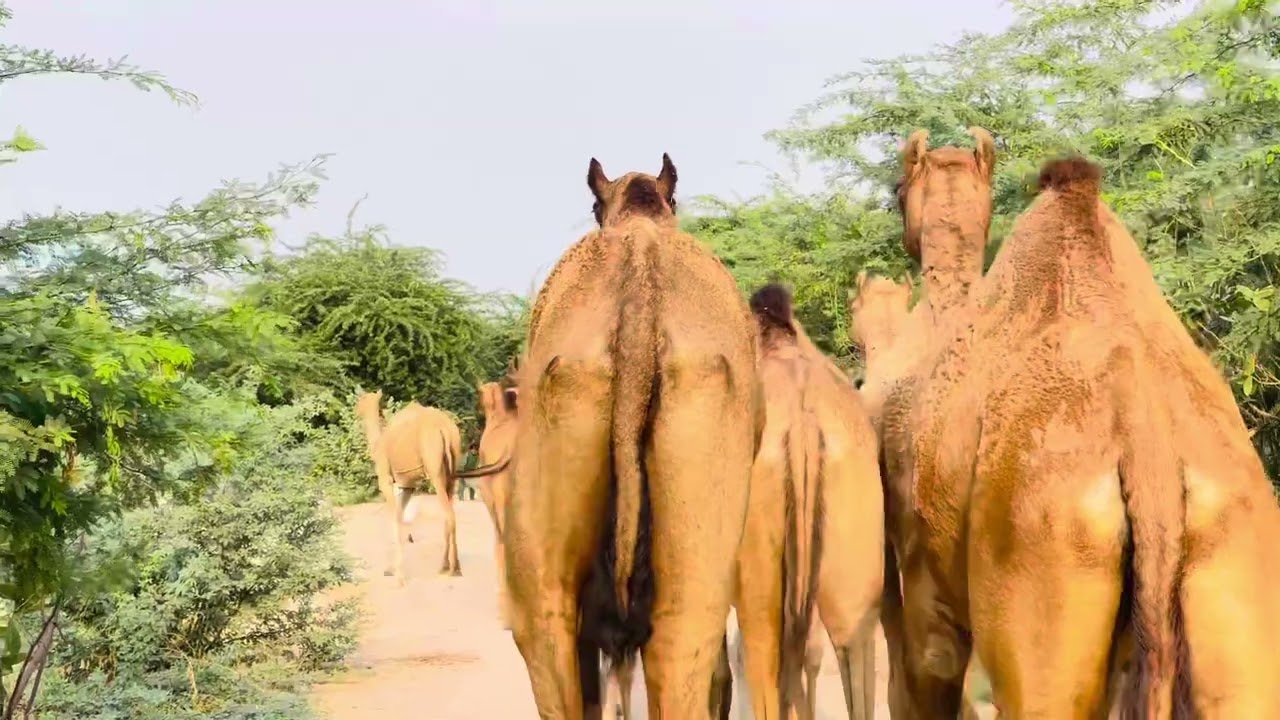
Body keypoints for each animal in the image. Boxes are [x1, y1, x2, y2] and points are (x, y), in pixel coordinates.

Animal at [354, 390, 464, 585]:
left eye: (362, 399)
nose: (355, 409)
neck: (378, 444)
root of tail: (445, 429)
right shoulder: (407, 485)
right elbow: (401, 516)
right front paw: (391, 569)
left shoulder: (386, 480)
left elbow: (394, 517)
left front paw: (398, 575)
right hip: (453, 471)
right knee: (450, 513)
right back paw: (448, 567)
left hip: (435, 470)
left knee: (449, 515)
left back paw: (452, 569)